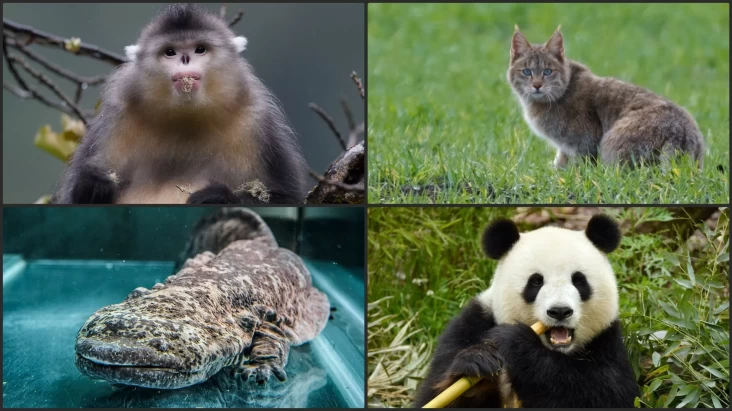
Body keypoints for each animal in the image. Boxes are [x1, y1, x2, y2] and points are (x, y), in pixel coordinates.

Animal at [414, 214, 640, 408]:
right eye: (536, 282)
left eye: (579, 280)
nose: (559, 311)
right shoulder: (471, 324)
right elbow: (432, 392)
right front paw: (475, 364)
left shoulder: (607, 340)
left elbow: (606, 394)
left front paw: (515, 342)